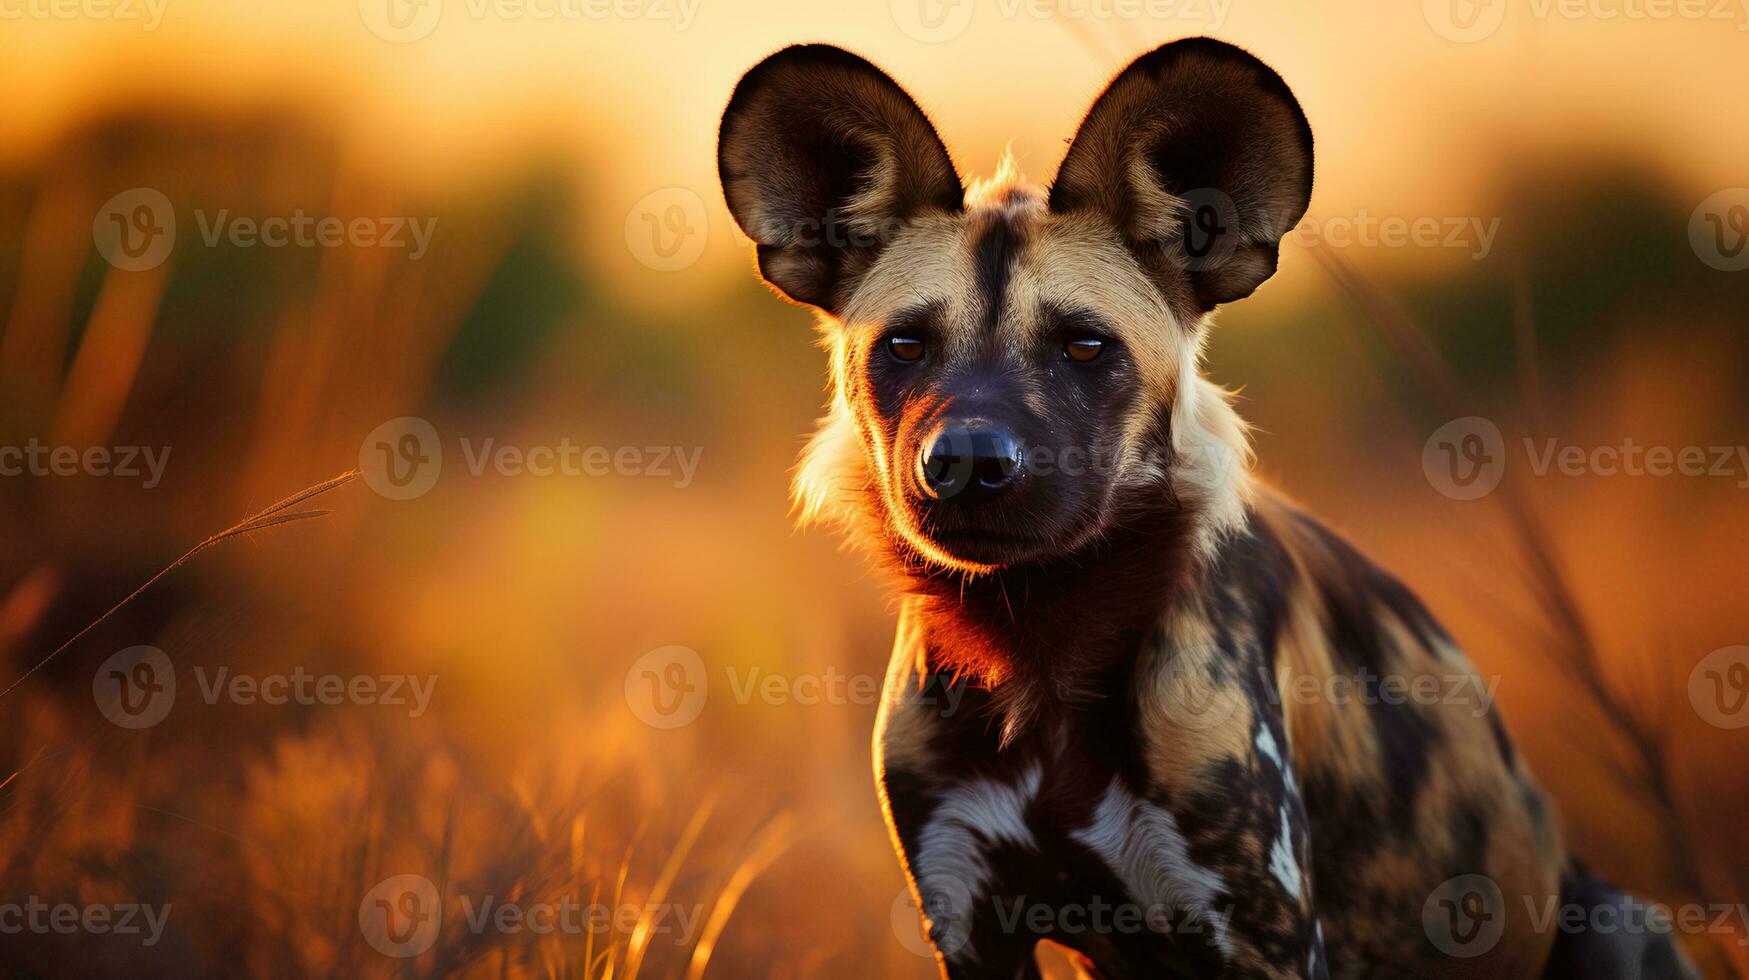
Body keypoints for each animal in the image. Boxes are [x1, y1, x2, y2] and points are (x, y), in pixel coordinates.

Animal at [717, 36, 1700, 973]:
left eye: (1083, 346)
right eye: (905, 346)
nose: (964, 460)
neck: (1041, 648)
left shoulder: (1261, 935)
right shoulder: (970, 925)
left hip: (1616, 921)